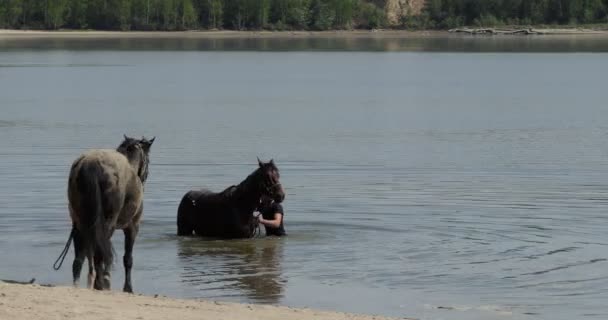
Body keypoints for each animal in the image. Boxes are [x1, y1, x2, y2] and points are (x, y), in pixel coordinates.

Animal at [54, 135, 154, 292]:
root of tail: (91, 165)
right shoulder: (133, 226)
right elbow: (128, 259)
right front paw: (128, 287)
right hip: (107, 223)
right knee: (100, 252)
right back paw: (102, 282)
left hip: (80, 223)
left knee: (80, 257)